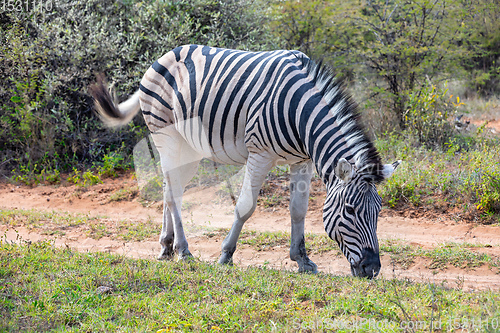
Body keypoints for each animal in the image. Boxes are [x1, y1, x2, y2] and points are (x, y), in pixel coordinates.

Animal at [90, 44, 400, 278]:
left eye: (379, 211)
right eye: (350, 210)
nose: (372, 269)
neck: (301, 115)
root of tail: (165, 55)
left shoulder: (302, 160)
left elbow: (298, 210)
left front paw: (302, 259)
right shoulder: (260, 153)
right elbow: (245, 207)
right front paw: (226, 254)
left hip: (188, 148)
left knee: (170, 188)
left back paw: (166, 246)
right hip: (166, 136)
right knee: (174, 192)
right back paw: (183, 250)